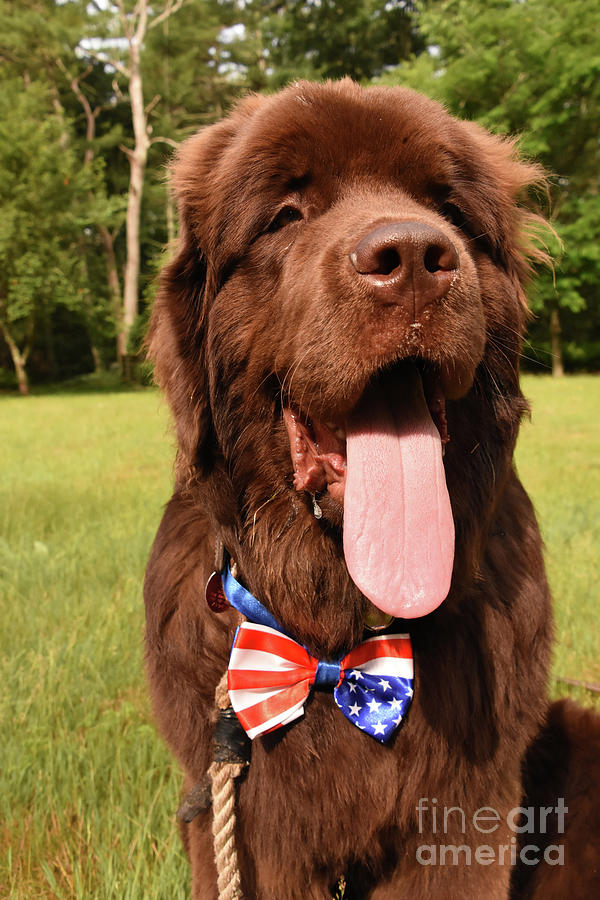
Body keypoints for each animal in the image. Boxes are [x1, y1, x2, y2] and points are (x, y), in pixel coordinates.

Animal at [145, 81, 600, 896]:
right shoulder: (244, 820)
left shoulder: (465, 816)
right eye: (286, 214)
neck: (342, 644)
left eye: (446, 206)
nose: (414, 256)